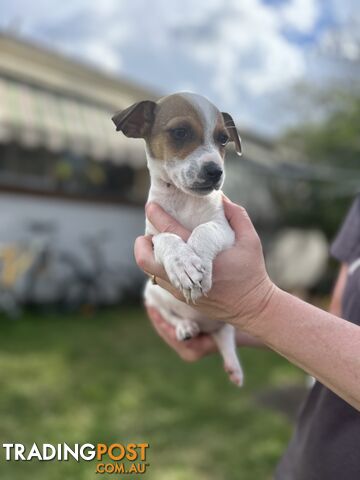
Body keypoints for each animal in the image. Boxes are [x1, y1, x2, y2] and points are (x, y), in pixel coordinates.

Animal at [111, 93, 243, 386]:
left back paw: (233, 364)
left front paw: (196, 261)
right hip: (152, 295)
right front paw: (184, 265)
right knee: (171, 316)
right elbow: (168, 238)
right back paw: (186, 326)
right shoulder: (150, 237)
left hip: (224, 323)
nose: (215, 171)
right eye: (180, 132)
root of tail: (205, 325)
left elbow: (204, 230)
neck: (184, 198)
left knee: (225, 333)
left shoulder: (226, 229)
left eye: (223, 139)